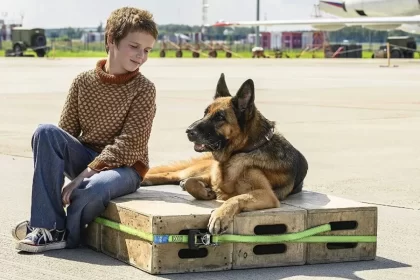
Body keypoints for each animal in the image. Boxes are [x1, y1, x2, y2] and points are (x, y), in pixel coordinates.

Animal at [141, 73, 308, 235]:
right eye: (205, 113)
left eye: (220, 117)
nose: (188, 131)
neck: (242, 150)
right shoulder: (211, 177)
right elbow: (191, 183)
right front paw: (205, 192)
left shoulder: (267, 195)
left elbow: (236, 198)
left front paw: (219, 216)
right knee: (172, 174)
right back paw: (147, 179)